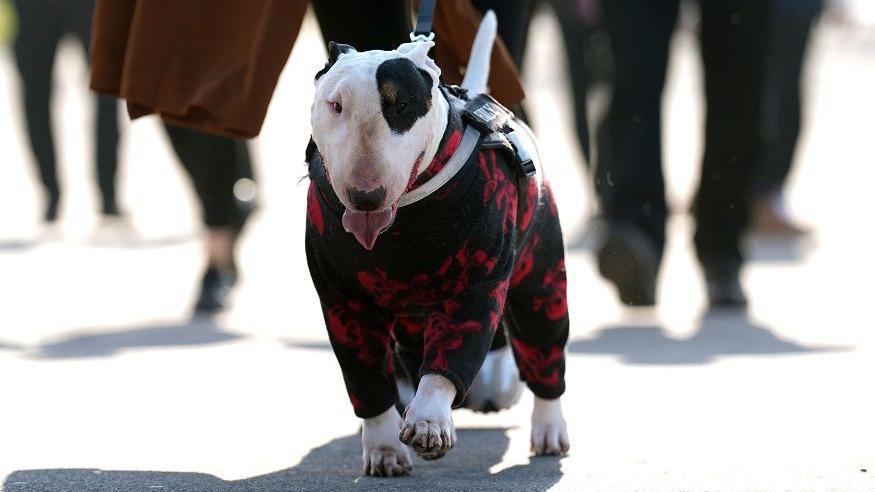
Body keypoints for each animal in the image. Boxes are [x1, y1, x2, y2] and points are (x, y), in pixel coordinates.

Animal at [308, 13, 576, 478]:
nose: (365, 197)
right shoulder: (342, 303)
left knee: (542, 341)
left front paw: (429, 420)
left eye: (400, 106)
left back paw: (548, 428)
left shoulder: (475, 281)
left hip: (539, 275)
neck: (403, 221)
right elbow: (365, 376)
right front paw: (383, 448)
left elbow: (453, 350)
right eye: (335, 105)